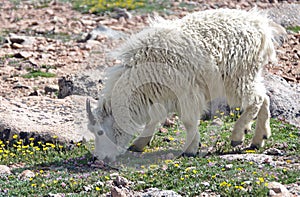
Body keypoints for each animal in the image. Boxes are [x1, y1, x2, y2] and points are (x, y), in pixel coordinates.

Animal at [86, 8, 286, 162]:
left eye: (100, 132)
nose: (97, 157)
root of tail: (260, 26)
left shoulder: (185, 92)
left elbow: (188, 121)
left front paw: (191, 149)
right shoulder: (159, 95)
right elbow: (154, 119)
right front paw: (139, 144)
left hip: (238, 76)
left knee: (256, 99)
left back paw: (238, 136)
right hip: (248, 74)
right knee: (264, 97)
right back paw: (259, 138)